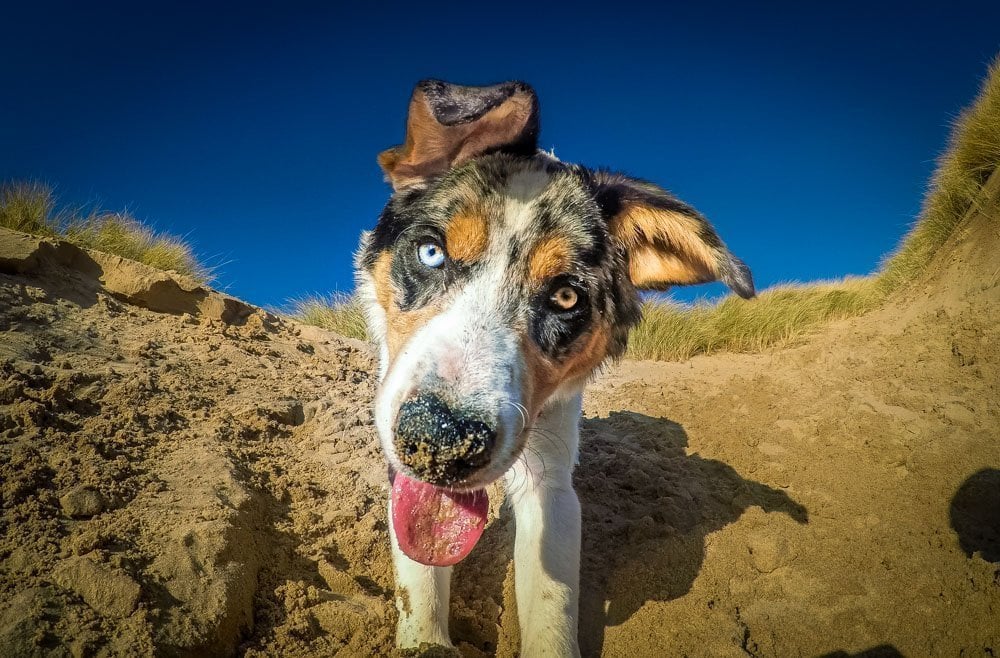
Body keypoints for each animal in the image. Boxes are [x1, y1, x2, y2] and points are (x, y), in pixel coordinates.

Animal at [356, 79, 752, 652]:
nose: (442, 441)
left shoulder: (552, 481)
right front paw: (424, 643)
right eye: (431, 252)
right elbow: (421, 583)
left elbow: (551, 600)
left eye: (567, 297)